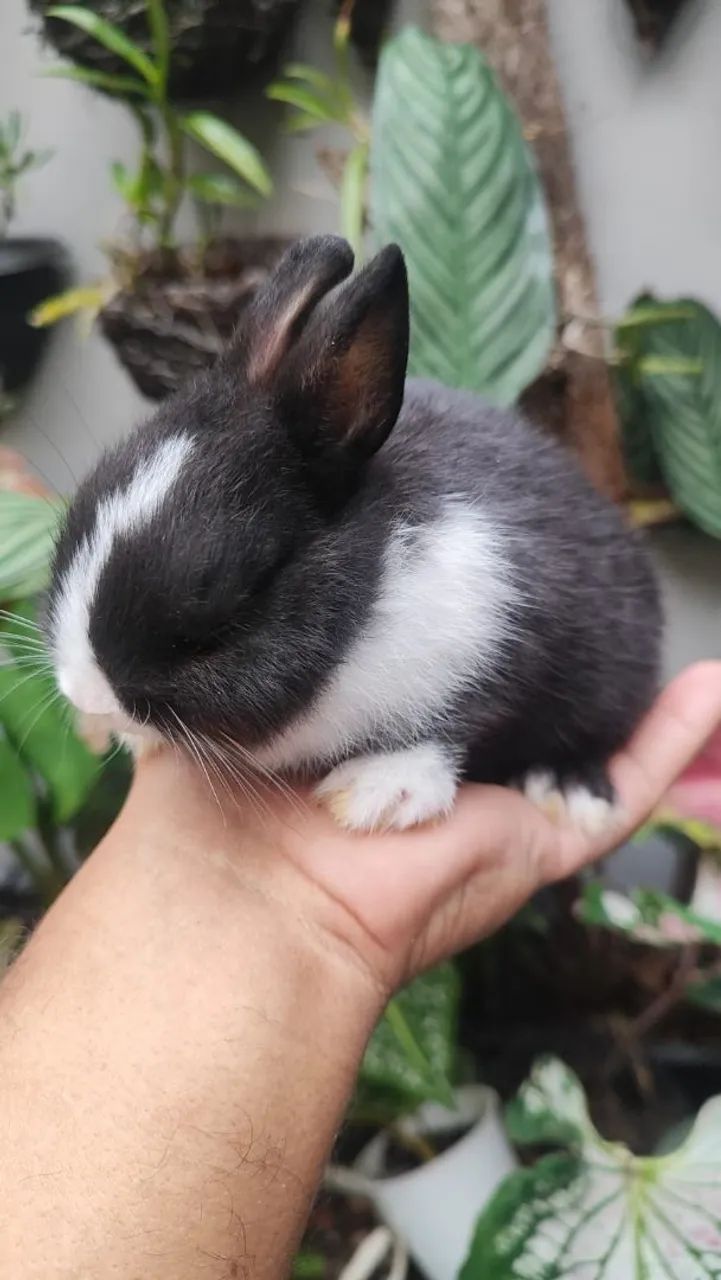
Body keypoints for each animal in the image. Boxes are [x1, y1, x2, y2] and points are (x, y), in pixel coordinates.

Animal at [46, 235, 662, 835]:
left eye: (227, 608)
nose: (86, 695)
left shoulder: (493, 629)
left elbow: (458, 724)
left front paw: (379, 791)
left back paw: (568, 791)